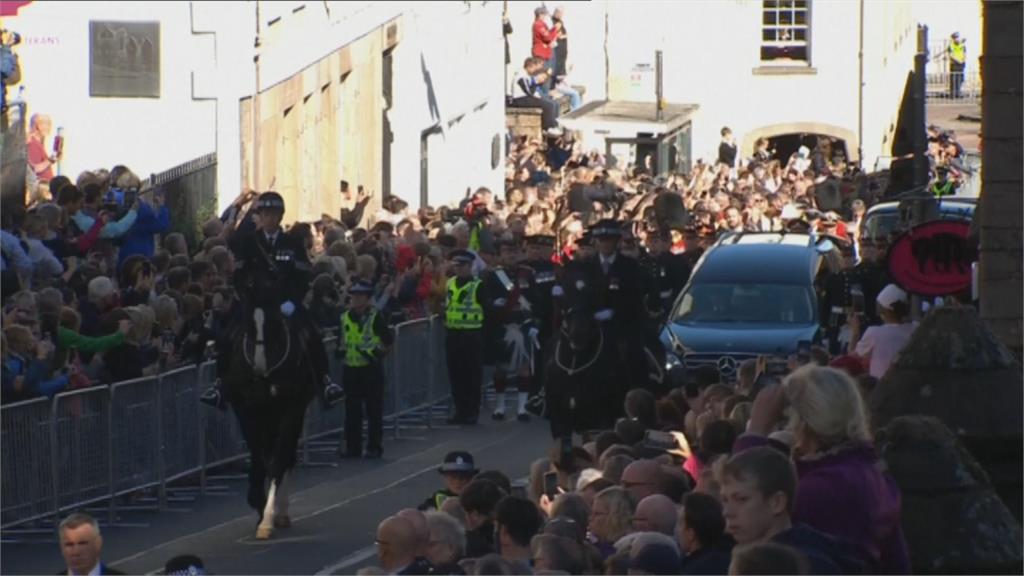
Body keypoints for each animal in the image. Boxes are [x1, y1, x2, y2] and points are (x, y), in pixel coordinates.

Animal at [224, 258, 315, 537]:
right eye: (247, 320)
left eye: (275, 319)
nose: (261, 366)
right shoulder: (246, 410)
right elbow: (260, 456)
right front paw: (257, 499)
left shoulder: (291, 409)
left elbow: (277, 461)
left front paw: (266, 517)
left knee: (286, 456)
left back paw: (280, 511)